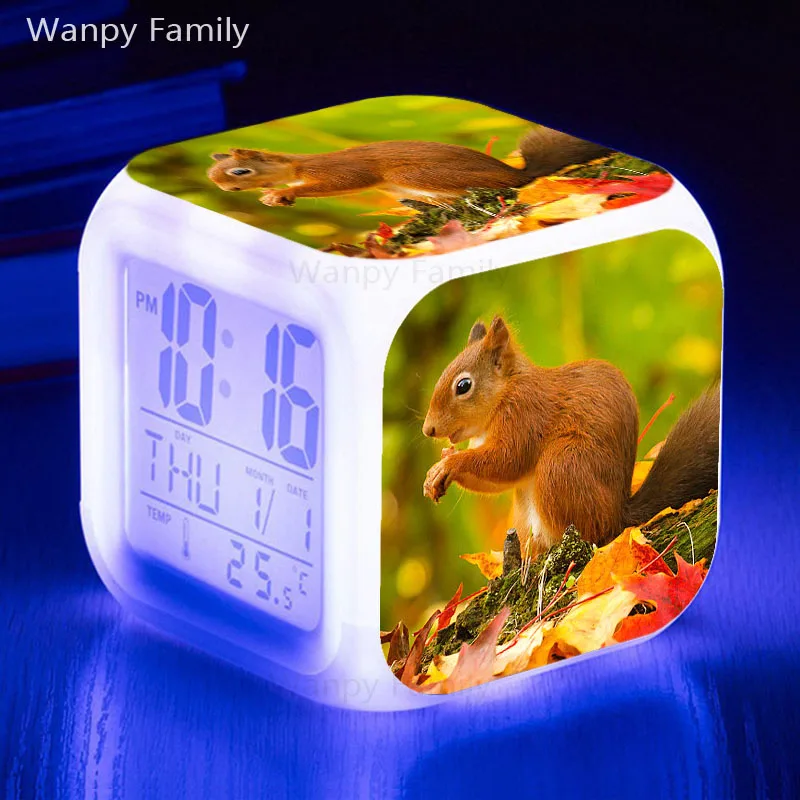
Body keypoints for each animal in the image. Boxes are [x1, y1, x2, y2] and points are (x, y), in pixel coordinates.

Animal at [421, 316, 720, 555]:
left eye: (463, 385)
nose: (428, 429)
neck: (505, 392)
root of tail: (618, 517)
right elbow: (497, 479)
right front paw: (438, 468)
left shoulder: (525, 413)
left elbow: (508, 460)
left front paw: (450, 463)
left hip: (562, 464)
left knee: (591, 534)